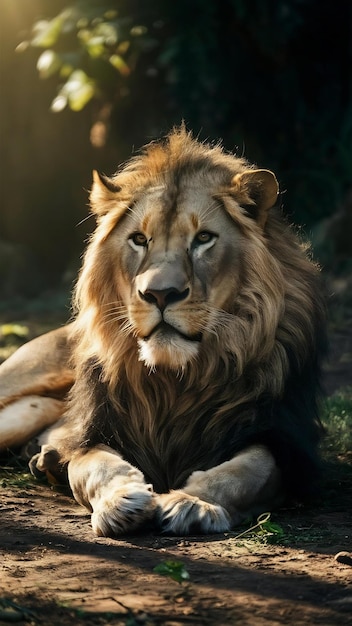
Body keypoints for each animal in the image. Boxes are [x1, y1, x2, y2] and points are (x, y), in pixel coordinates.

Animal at [0, 128, 326, 536]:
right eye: (139, 240)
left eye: (203, 238)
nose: (160, 293)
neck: (175, 379)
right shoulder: (93, 433)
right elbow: (97, 467)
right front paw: (121, 501)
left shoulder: (283, 442)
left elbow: (247, 471)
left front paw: (193, 503)